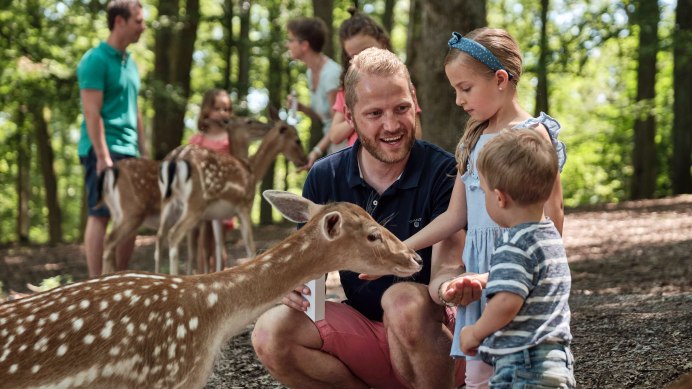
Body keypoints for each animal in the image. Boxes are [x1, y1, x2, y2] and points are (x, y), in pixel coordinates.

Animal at [158, 119, 310, 274]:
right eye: (297, 140)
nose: (304, 160)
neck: (252, 171)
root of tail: (176, 158)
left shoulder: (216, 216)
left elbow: (219, 247)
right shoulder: (245, 205)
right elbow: (250, 246)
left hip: (167, 202)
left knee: (160, 237)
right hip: (196, 203)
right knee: (173, 234)